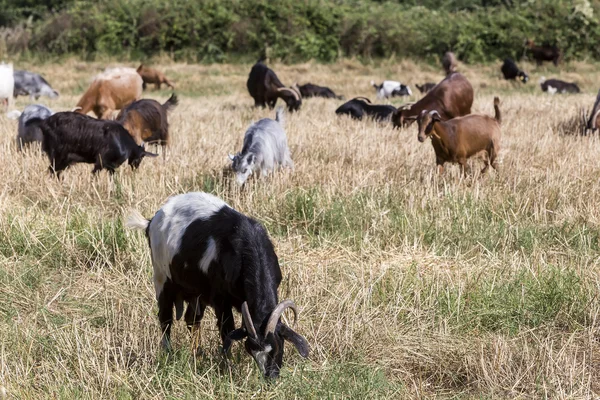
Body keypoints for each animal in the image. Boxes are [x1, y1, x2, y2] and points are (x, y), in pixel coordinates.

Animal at [125, 192, 310, 380]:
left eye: (278, 346)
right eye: (251, 351)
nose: (270, 377)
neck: (246, 245)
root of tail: (152, 221)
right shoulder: (220, 300)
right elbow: (227, 330)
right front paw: (227, 366)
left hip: (196, 291)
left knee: (192, 319)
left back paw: (197, 355)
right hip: (162, 278)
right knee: (165, 318)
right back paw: (168, 354)